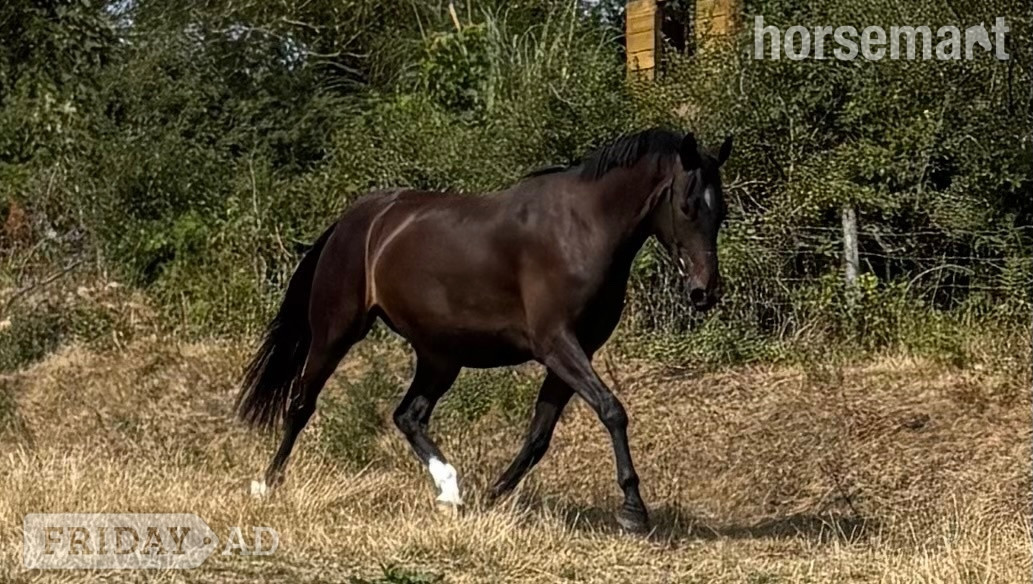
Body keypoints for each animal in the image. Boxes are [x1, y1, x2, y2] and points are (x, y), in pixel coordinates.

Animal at [236, 128, 732, 532]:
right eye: (688, 206)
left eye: (721, 211)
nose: (704, 291)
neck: (581, 229)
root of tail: (356, 218)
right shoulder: (558, 345)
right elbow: (612, 410)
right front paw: (633, 510)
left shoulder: (574, 353)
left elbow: (538, 436)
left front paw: (493, 497)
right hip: (337, 331)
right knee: (302, 403)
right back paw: (268, 483)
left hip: (440, 356)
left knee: (408, 416)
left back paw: (451, 491)